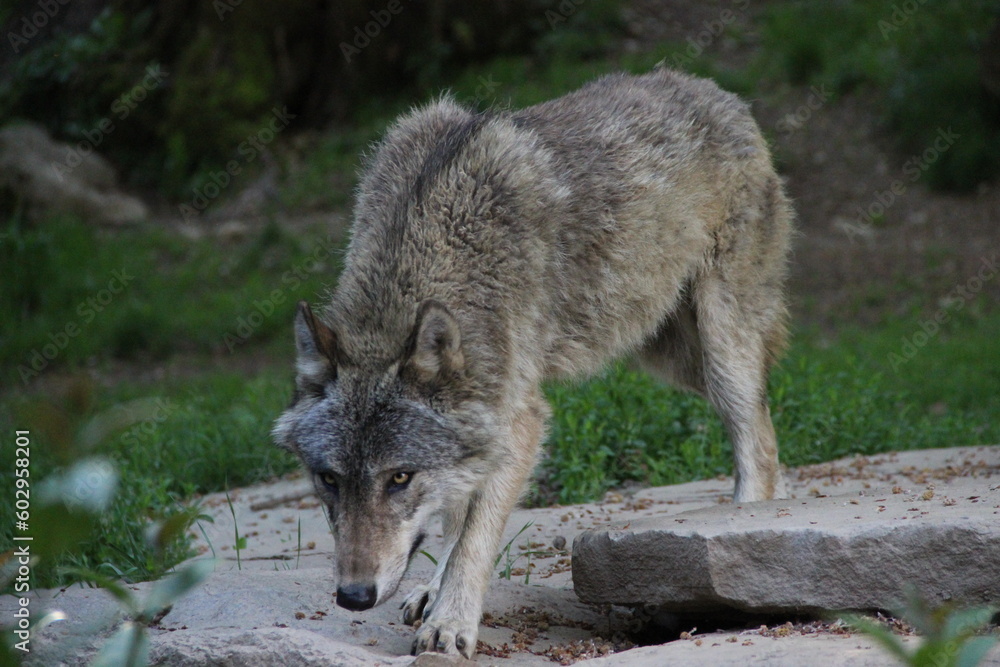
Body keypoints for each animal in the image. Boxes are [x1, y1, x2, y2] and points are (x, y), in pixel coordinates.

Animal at [270, 65, 792, 660]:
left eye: (400, 478)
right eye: (328, 479)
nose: (353, 597)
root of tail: (715, 91)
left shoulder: (519, 419)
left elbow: (474, 536)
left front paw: (450, 621)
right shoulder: (484, 420)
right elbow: (458, 515)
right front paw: (434, 591)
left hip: (720, 347)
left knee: (756, 435)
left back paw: (740, 533)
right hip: (673, 359)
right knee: (765, 416)